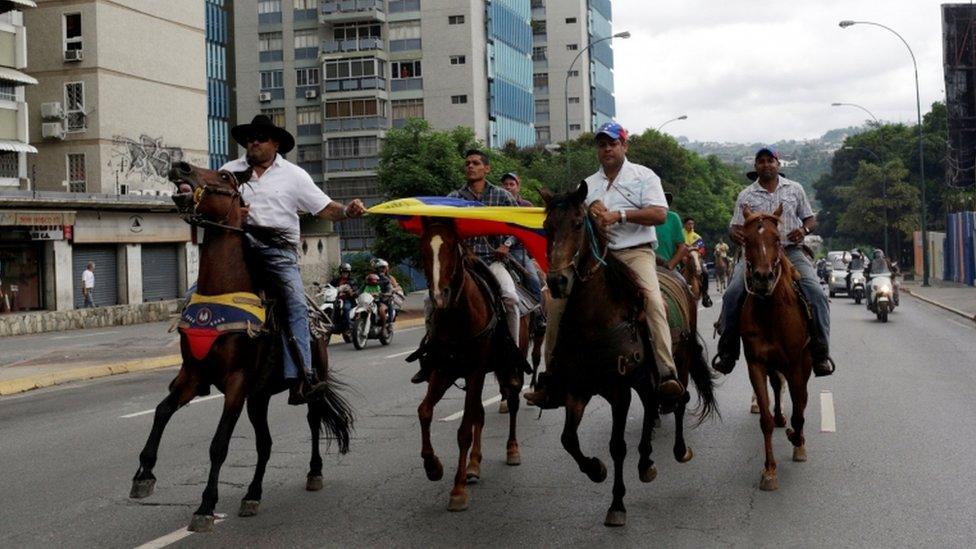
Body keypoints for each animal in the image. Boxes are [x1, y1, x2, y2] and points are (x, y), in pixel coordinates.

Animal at [131, 163, 354, 532]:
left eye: (223, 177)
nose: (180, 166)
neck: (221, 290)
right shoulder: (193, 375)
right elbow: (162, 411)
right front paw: (144, 474)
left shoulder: (236, 382)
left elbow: (219, 444)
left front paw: (206, 506)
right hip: (258, 397)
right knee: (265, 444)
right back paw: (252, 494)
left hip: (309, 384)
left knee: (313, 420)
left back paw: (314, 472)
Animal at [416, 217, 528, 510]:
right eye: (423, 249)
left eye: (452, 248)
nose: (439, 297)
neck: (457, 317)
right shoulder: (443, 370)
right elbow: (425, 412)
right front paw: (433, 467)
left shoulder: (476, 371)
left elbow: (464, 430)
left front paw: (458, 490)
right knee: (479, 412)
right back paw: (474, 465)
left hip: (509, 365)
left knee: (512, 400)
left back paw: (512, 450)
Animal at [540, 184, 716, 528]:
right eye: (546, 228)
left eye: (578, 224)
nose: (556, 282)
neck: (594, 320)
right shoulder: (577, 388)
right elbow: (568, 439)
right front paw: (595, 469)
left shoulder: (618, 390)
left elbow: (617, 445)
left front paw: (617, 504)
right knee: (650, 406)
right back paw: (646, 460)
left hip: (679, 362)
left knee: (679, 398)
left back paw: (679, 450)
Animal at [740, 204, 816, 488]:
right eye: (747, 239)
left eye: (776, 239)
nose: (762, 277)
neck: (770, 311)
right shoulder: (756, 364)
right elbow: (765, 420)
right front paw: (770, 470)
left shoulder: (796, 364)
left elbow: (800, 406)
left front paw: (798, 440)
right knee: (777, 386)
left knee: (801, 398)